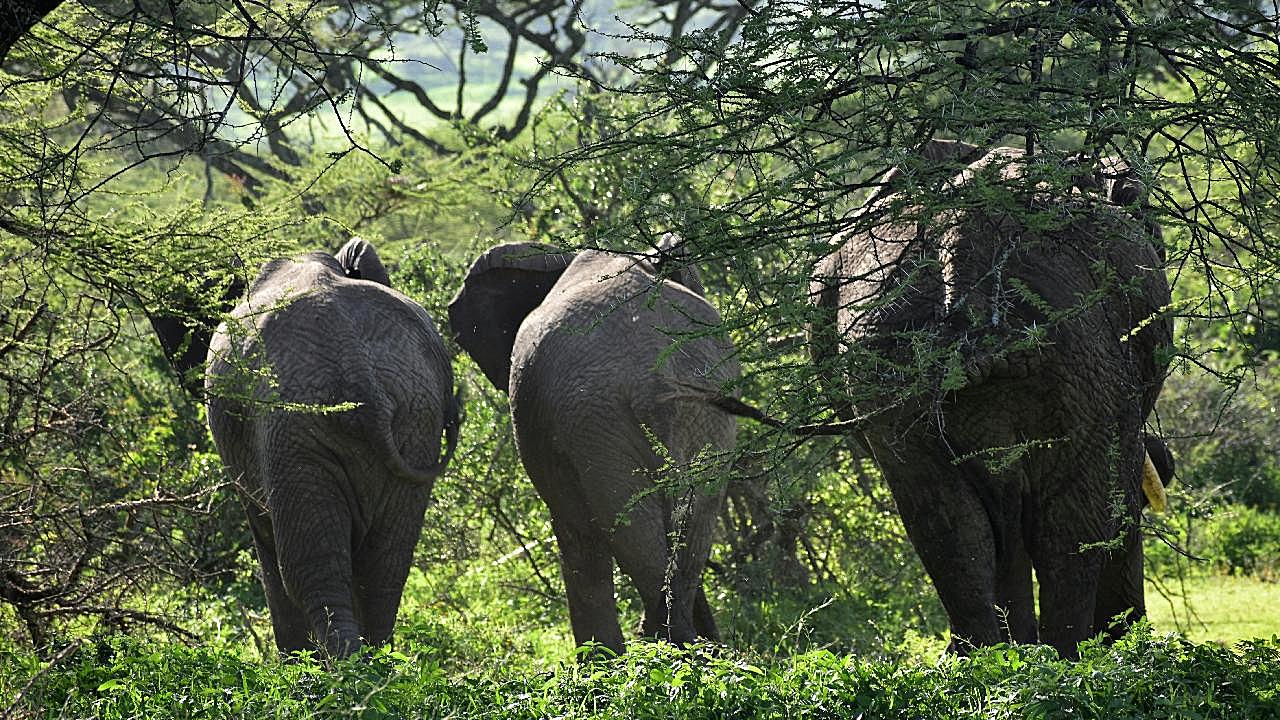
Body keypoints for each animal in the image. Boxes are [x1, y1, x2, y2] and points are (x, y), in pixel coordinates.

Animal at [194, 238, 460, 653]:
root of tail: (355, 365)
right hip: (417, 417)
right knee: (386, 567)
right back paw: (378, 661)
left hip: (293, 428)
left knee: (308, 569)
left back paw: (337, 666)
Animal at [448, 242, 737, 655]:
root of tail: (655, 378)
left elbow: (574, 533)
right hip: (693, 409)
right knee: (696, 524)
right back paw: (693, 652)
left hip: (596, 418)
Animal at [814, 141, 1172, 655]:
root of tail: (961, 239)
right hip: (1082, 355)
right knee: (1070, 529)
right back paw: (1068, 659)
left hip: (887, 365)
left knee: (949, 526)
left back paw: (987, 658)